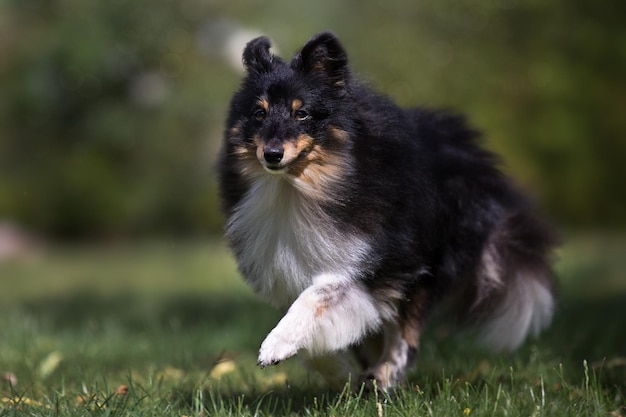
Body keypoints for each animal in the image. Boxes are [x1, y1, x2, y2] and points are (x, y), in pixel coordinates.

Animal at [216, 31, 556, 390]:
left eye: (302, 113)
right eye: (259, 113)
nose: (271, 154)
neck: (302, 188)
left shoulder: (371, 261)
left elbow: (316, 297)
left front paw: (276, 345)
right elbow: (321, 329)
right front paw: (337, 372)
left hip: (422, 263)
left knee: (404, 333)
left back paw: (385, 375)